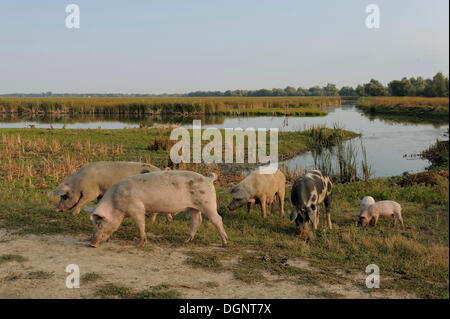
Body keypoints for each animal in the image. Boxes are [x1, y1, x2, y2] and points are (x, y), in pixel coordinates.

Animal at [86, 171, 229, 249]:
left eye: (99, 224)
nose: (91, 244)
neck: (116, 203)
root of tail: (208, 178)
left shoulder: (137, 208)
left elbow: (140, 224)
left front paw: (139, 244)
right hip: (194, 207)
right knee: (197, 221)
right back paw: (185, 241)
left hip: (208, 203)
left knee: (218, 219)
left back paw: (224, 243)